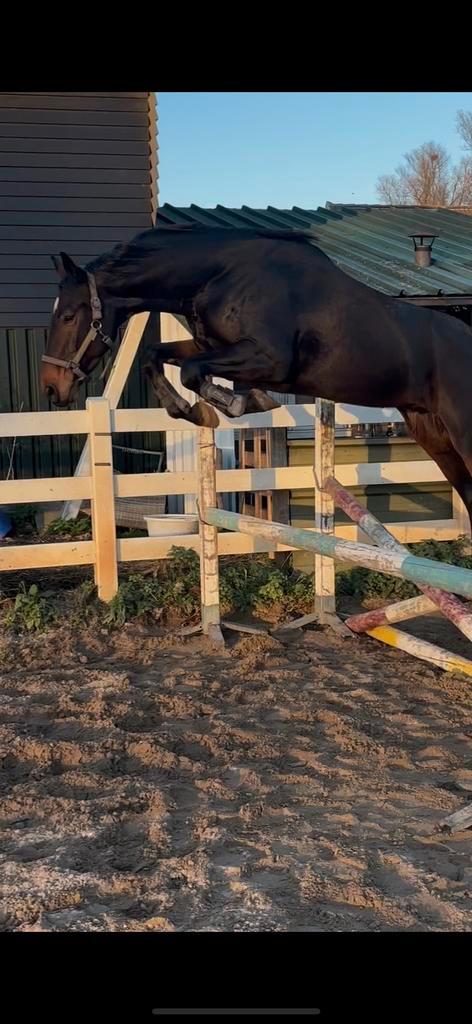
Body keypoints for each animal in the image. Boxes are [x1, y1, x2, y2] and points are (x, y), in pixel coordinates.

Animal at [40, 223, 472, 531]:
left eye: (68, 316)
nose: (51, 386)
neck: (218, 275)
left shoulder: (269, 359)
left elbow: (196, 373)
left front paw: (233, 403)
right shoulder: (208, 345)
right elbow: (154, 356)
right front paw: (190, 409)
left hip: (461, 435)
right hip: (433, 436)